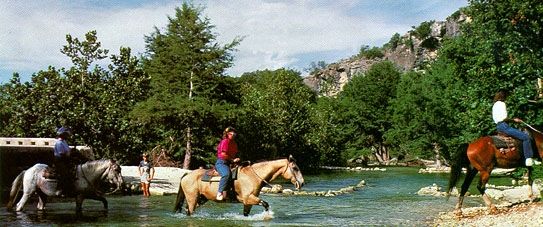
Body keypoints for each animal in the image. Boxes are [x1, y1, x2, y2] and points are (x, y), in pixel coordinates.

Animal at [173, 154, 304, 216]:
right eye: (295, 168)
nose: (302, 183)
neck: (253, 176)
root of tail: (187, 175)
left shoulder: (248, 203)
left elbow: (246, 214)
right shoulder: (248, 198)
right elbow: (266, 204)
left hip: (201, 199)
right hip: (192, 198)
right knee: (190, 211)